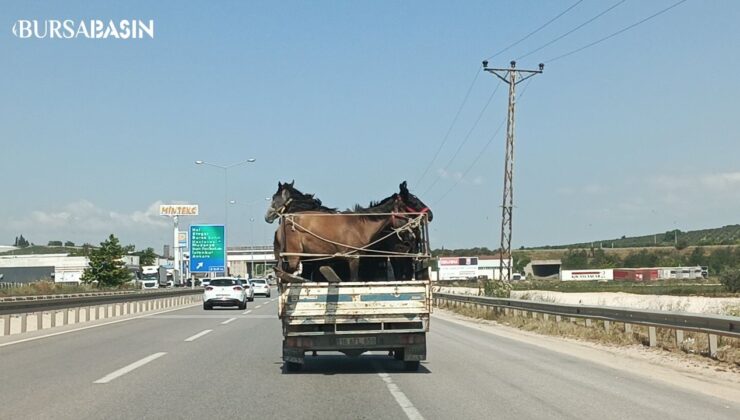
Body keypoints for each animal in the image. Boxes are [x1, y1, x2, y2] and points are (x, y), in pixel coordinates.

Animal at [266, 180, 430, 282]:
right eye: (411, 202)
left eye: (275, 197)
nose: (267, 216)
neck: (360, 225)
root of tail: (285, 223)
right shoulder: (353, 258)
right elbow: (353, 280)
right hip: (293, 257)